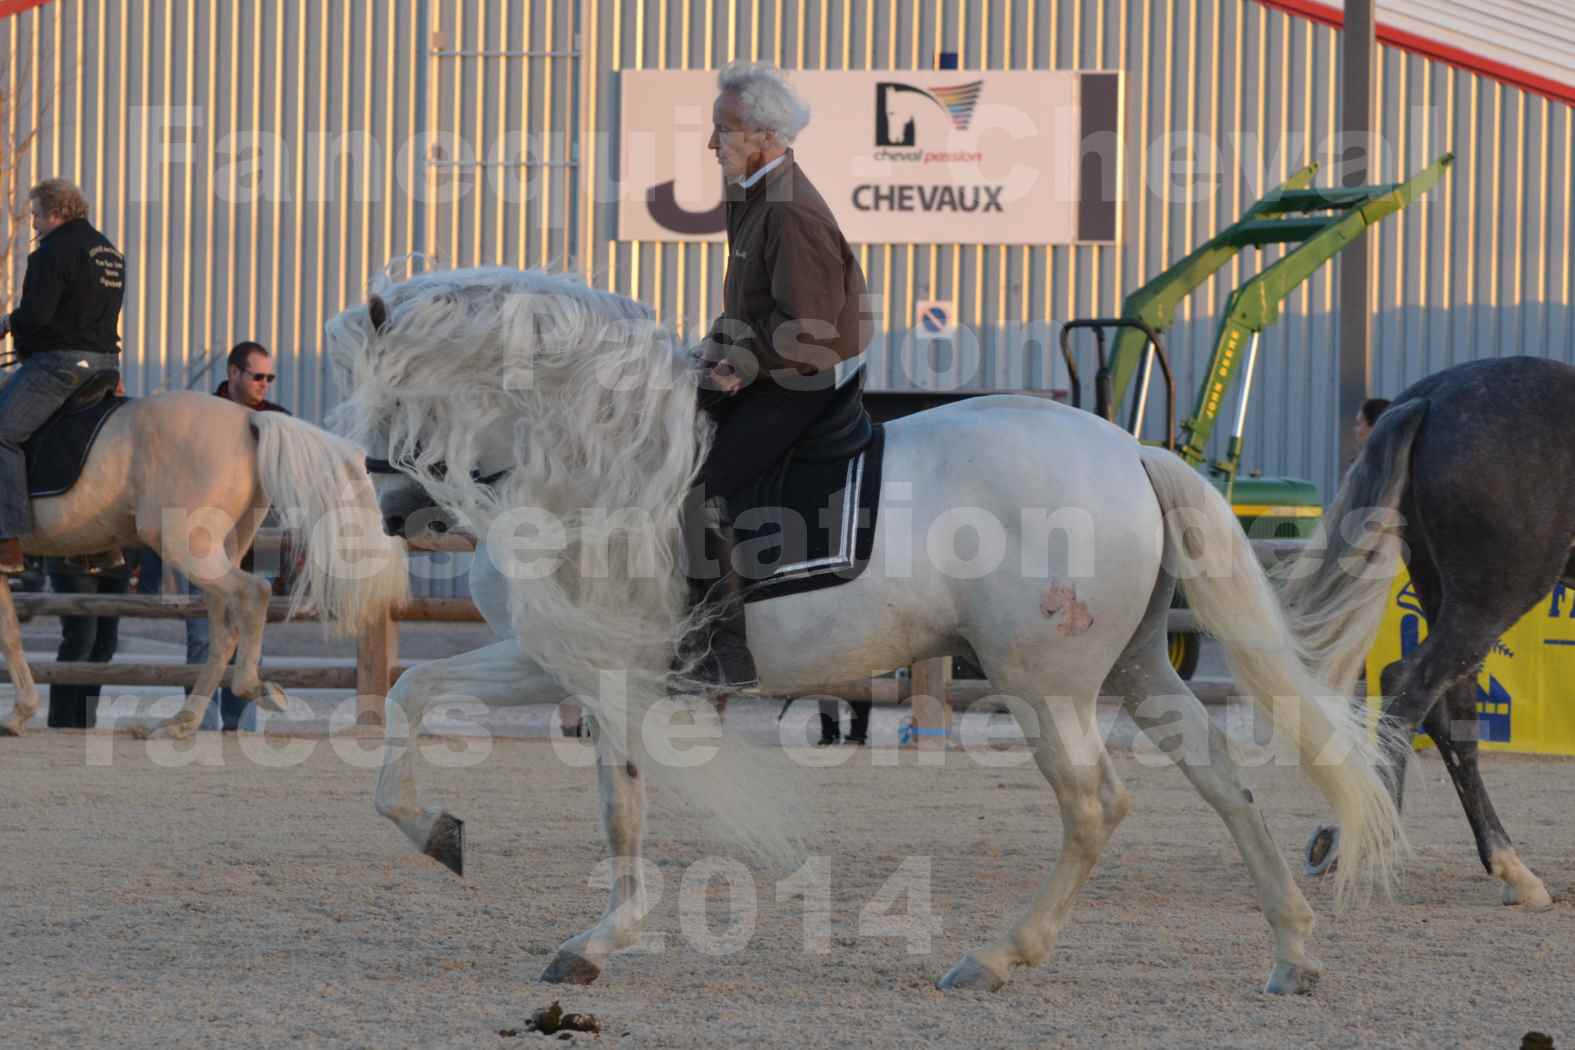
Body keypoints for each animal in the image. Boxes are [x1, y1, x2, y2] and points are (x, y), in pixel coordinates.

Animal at [0, 388, 412, 739]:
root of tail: (249, 417)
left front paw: (18, 714)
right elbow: (11, 633)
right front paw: (19, 712)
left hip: (187, 546)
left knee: (253, 594)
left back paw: (249, 688)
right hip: (219, 547)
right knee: (225, 630)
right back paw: (183, 719)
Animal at [322, 267, 1404, 1001]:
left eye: (396, 399)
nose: (390, 509)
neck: (589, 453)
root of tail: (1132, 449)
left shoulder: (605, 672)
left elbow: (609, 807)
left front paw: (580, 930)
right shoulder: (574, 668)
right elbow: (430, 702)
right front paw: (451, 840)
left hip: (1043, 683)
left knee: (1097, 804)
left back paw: (998, 955)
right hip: (1138, 669)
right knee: (1223, 779)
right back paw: (1293, 953)